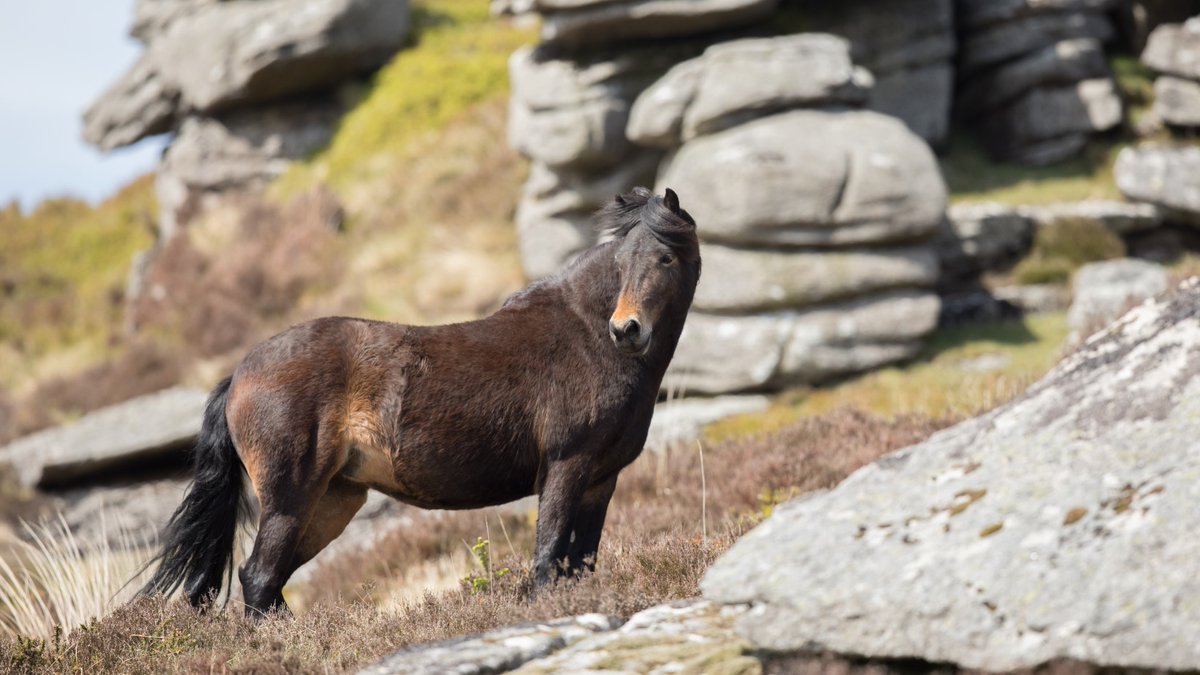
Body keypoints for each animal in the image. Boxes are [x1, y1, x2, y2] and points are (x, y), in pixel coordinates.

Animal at [137, 187, 702, 617]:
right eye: (622, 263)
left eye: (666, 256)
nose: (626, 330)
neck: (585, 336)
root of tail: (238, 376)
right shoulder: (566, 466)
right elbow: (548, 561)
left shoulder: (601, 480)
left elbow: (581, 562)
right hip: (289, 497)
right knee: (258, 578)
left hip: (332, 502)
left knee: (268, 580)